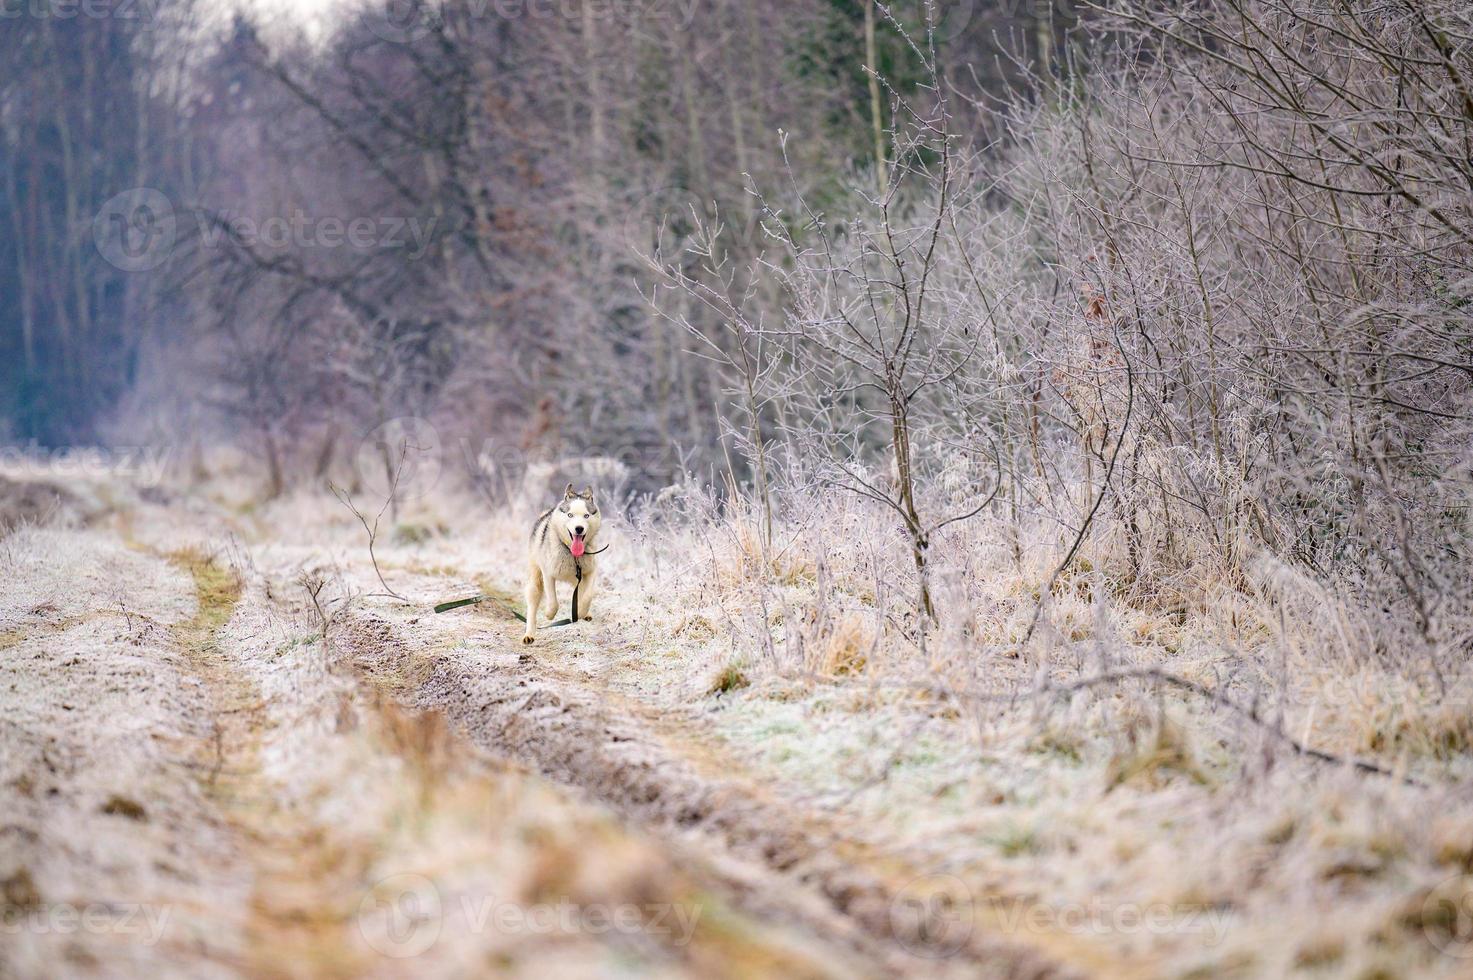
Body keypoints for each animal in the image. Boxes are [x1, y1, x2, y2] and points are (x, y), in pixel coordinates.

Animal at [524, 480, 603, 642]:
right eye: (570, 515)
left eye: (586, 515)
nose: (579, 528)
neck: (573, 555)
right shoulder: (548, 574)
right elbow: (553, 602)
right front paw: (549, 614)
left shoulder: (591, 570)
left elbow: (588, 595)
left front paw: (581, 612)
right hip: (535, 579)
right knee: (532, 603)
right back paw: (529, 634)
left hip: (578, 579)